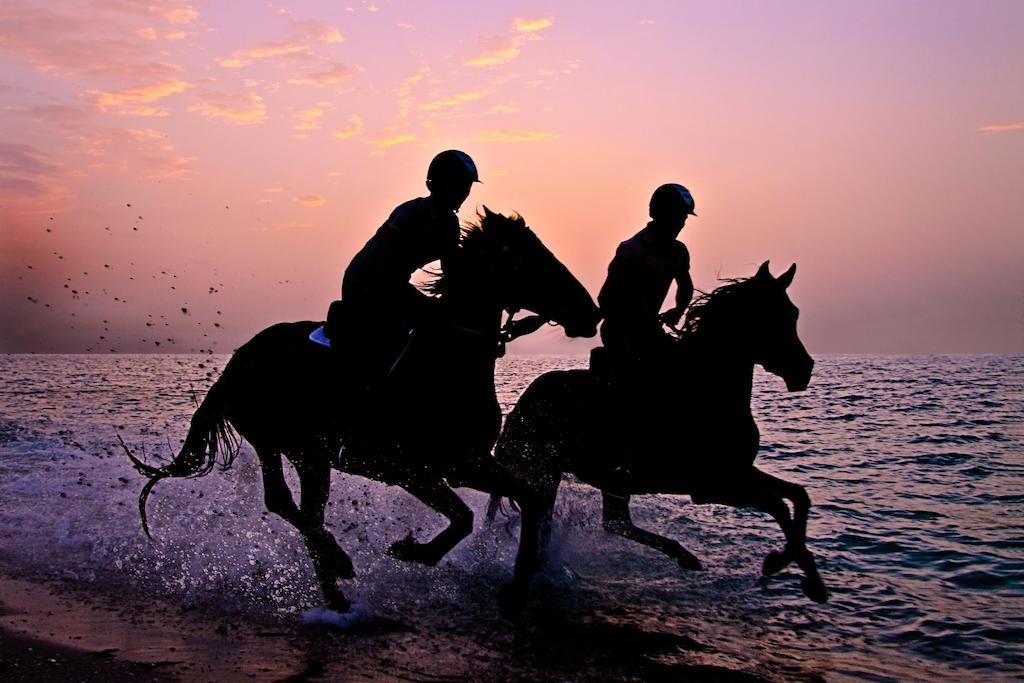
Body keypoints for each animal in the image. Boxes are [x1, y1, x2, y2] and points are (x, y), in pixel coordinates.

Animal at [123, 208, 598, 614]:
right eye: (527, 259)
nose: (590, 313)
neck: (448, 360)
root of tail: (238, 360)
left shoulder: (467, 463)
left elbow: (532, 498)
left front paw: (517, 588)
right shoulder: (411, 468)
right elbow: (463, 518)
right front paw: (412, 551)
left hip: (303, 452)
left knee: (299, 509)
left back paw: (335, 585)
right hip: (287, 444)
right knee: (287, 505)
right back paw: (338, 566)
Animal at [491, 259, 827, 618]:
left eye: (793, 313)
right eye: (773, 315)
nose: (804, 369)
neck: (711, 388)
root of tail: (526, 399)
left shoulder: (739, 473)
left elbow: (798, 496)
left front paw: (809, 578)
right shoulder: (715, 485)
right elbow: (778, 505)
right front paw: (781, 563)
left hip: (608, 481)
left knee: (614, 522)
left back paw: (683, 556)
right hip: (546, 474)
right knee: (566, 524)